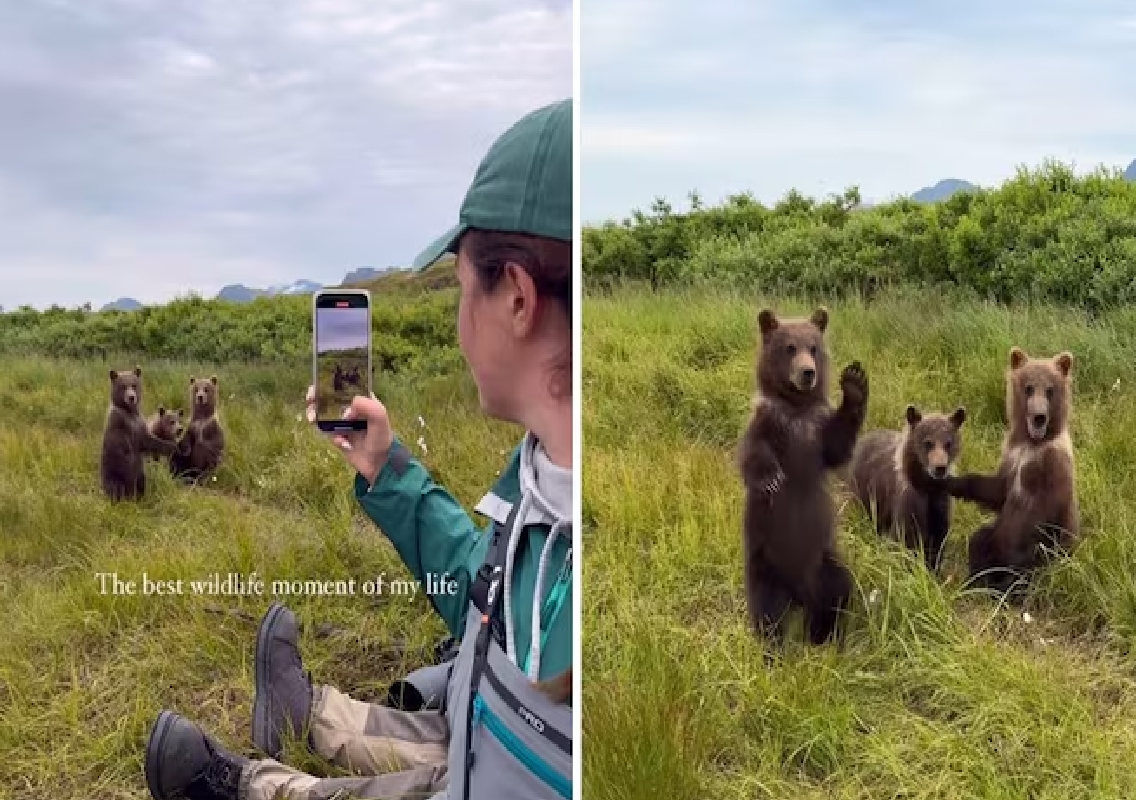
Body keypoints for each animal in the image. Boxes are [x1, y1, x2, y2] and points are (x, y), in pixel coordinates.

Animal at [100, 367, 179, 501]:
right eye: (123, 386)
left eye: (134, 385)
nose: (131, 397)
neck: (130, 412)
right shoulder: (119, 424)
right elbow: (125, 454)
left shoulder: (140, 426)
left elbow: (151, 442)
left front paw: (179, 447)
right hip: (110, 475)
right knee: (116, 487)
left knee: (142, 481)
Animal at [736, 306, 869, 645]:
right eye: (789, 348)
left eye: (814, 347)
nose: (808, 373)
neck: (797, 408)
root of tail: (798, 594)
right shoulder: (769, 420)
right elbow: (752, 453)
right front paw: (771, 479)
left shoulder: (818, 429)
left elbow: (838, 447)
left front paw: (854, 382)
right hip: (764, 564)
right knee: (767, 612)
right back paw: (774, 645)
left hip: (824, 560)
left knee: (838, 591)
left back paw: (826, 636)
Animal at [848, 404, 966, 572]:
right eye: (928, 442)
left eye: (948, 443)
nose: (940, 468)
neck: (928, 488)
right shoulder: (909, 503)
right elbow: (903, 541)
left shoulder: (940, 507)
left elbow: (936, 545)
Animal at [939, 348, 1078, 593]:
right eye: (1029, 387)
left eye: (1050, 390)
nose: (1039, 416)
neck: (1032, 443)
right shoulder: (1012, 456)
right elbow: (998, 490)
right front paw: (952, 481)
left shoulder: (1052, 465)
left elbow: (1045, 508)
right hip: (996, 534)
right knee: (979, 540)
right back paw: (975, 581)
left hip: (1051, 553)